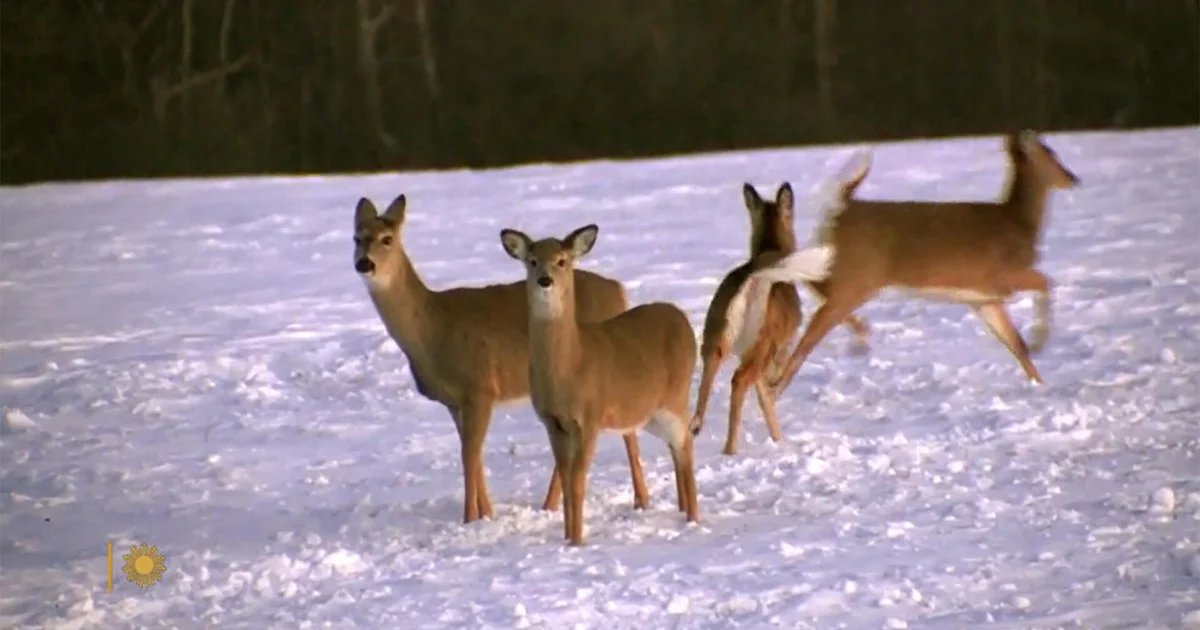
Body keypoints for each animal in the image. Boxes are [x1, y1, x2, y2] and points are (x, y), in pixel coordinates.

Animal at [353, 194, 652, 524]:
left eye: (387, 239)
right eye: (356, 237)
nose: (364, 263)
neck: (432, 327)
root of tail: (619, 290)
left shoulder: (480, 386)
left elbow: (469, 455)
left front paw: (470, 518)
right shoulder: (455, 401)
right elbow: (472, 452)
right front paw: (486, 513)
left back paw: (639, 501)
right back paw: (551, 505)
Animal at [499, 223, 700, 545]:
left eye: (561, 260)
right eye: (531, 260)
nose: (545, 280)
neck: (570, 367)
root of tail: (680, 316)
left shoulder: (590, 417)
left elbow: (578, 481)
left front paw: (578, 541)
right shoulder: (553, 423)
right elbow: (566, 479)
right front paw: (567, 538)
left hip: (675, 397)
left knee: (686, 444)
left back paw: (693, 520)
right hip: (650, 414)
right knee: (678, 445)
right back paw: (683, 512)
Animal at [690, 182, 871, 455]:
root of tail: (753, 277)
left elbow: (764, 395)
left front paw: (777, 439)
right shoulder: (783, 343)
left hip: (716, 328)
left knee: (710, 370)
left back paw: (696, 427)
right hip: (765, 338)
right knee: (740, 379)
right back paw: (730, 448)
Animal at [765, 130, 1080, 397]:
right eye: (1050, 151)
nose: (1073, 178)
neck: (1019, 223)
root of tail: (844, 205)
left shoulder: (983, 299)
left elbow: (1016, 344)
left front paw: (1040, 384)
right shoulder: (1004, 277)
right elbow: (1047, 282)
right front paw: (1040, 341)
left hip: (846, 270)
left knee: (808, 283)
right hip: (859, 277)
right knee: (813, 322)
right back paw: (780, 384)